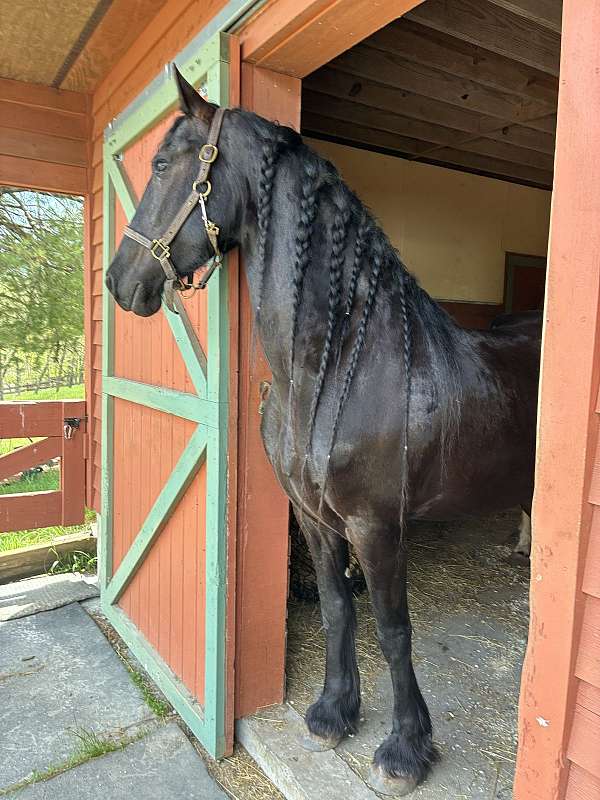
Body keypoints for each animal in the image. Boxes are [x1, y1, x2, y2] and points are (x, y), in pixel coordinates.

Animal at [106, 68, 541, 796]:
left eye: (163, 165)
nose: (118, 282)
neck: (338, 362)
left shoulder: (375, 526)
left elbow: (393, 629)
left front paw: (404, 751)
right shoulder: (312, 517)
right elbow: (339, 608)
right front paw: (334, 713)